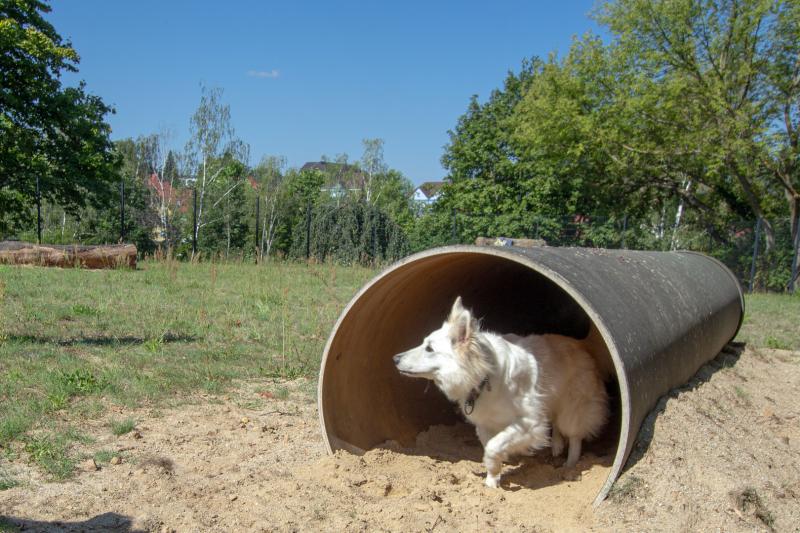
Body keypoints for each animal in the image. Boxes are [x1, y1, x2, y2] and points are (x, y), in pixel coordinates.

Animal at [392, 296, 608, 486]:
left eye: (429, 349)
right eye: (424, 343)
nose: (395, 358)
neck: (485, 375)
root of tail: (580, 343)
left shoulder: (529, 422)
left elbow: (494, 447)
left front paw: (494, 475)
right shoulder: (485, 424)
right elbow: (491, 447)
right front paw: (492, 478)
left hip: (574, 406)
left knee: (575, 435)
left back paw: (570, 465)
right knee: (555, 422)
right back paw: (556, 446)